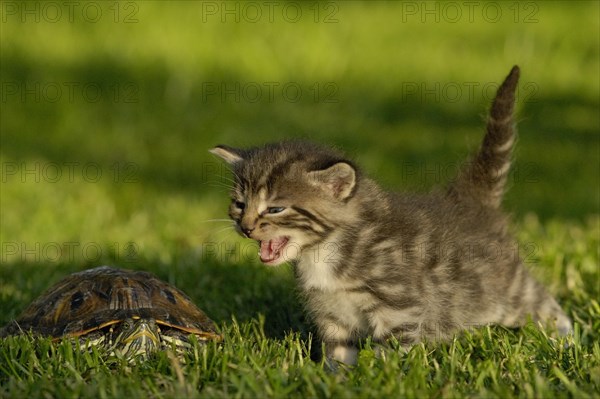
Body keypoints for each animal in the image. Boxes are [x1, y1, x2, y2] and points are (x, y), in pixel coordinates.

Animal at [210, 67, 572, 368]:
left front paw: (378, 379)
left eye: (275, 208)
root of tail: (468, 198)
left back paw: (566, 339)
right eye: (239, 204)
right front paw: (334, 379)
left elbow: (389, 354)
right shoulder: (332, 316)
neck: (326, 252)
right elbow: (339, 354)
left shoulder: (399, 310)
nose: (245, 227)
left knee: (542, 301)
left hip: (505, 289)